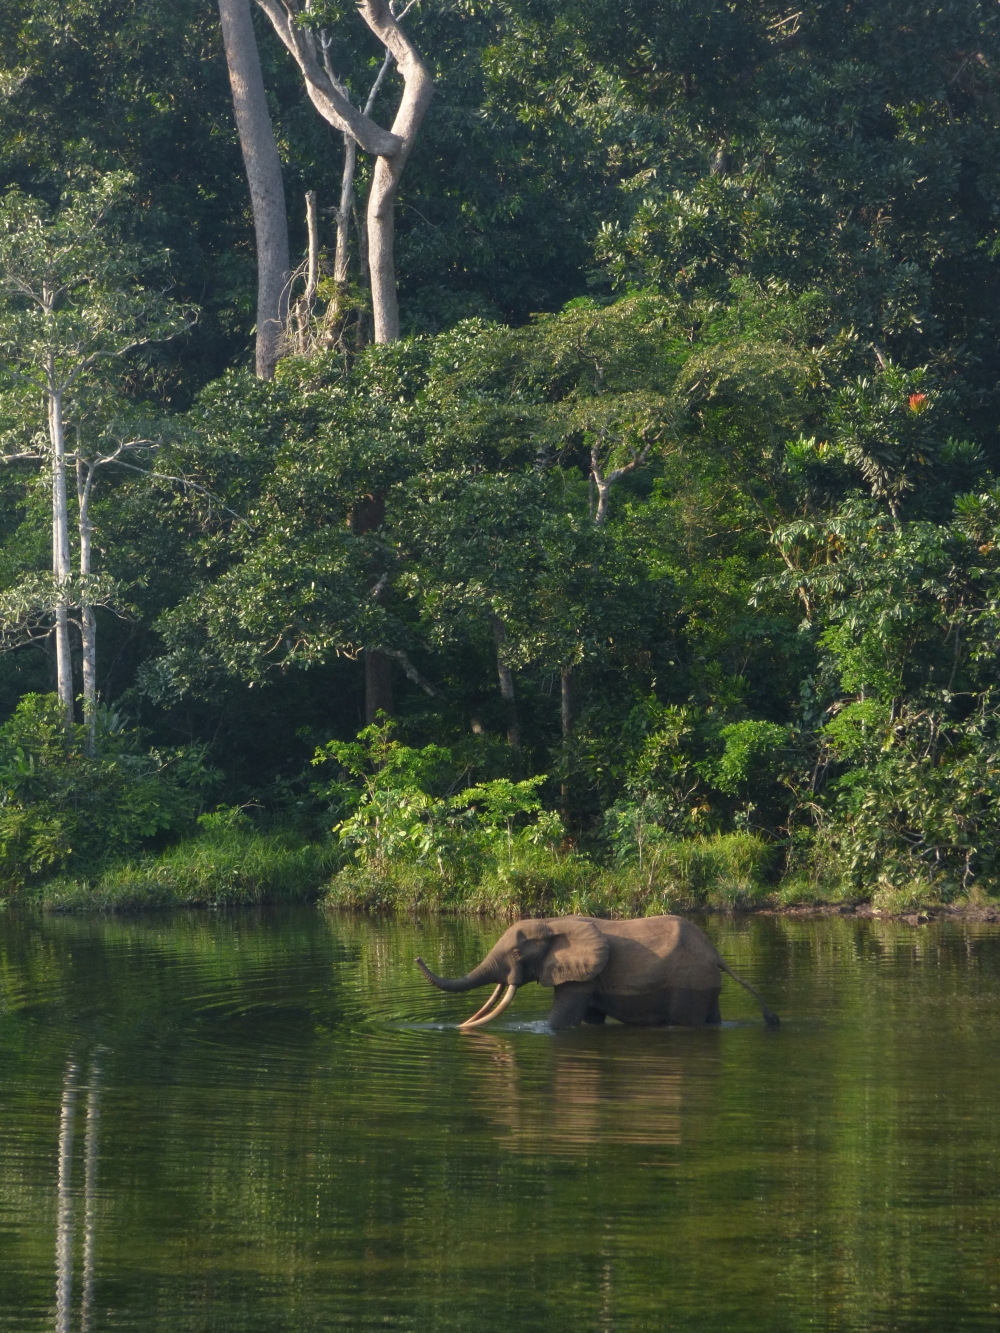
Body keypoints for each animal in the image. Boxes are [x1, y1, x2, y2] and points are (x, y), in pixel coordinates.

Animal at [417, 914, 780, 1030]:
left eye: (518, 953)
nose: (418, 958)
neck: (554, 922)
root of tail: (716, 954)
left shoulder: (580, 979)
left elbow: (559, 1022)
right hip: (704, 985)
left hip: (689, 985)